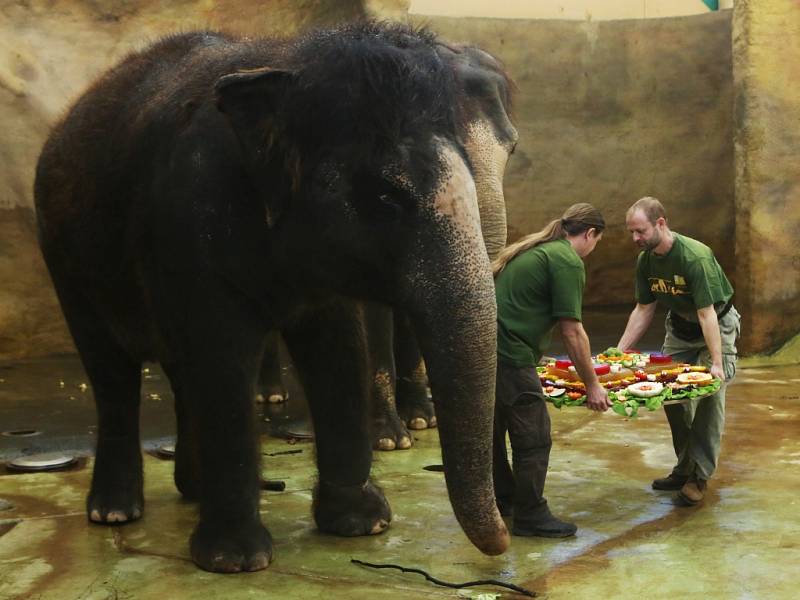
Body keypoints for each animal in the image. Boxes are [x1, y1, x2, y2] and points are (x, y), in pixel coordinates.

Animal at [34, 23, 510, 576]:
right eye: (387, 196)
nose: (502, 544)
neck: (290, 62)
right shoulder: (188, 224)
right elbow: (222, 357)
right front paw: (236, 560)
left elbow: (338, 352)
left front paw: (363, 525)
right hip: (66, 264)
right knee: (111, 371)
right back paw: (115, 513)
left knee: (181, 372)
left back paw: (192, 490)